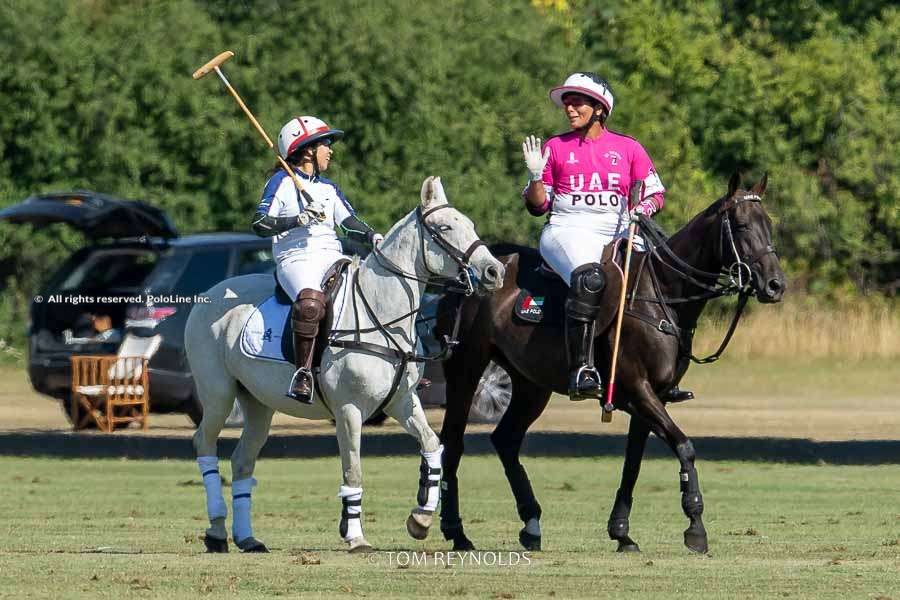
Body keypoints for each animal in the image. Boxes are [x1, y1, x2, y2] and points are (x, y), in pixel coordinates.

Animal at [185, 177, 502, 552]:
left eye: (469, 224)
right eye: (444, 228)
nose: (494, 271)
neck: (381, 311)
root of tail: (206, 296)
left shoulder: (402, 401)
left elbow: (431, 445)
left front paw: (420, 519)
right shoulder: (348, 409)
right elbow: (353, 469)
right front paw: (354, 536)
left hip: (258, 402)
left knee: (242, 459)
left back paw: (248, 538)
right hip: (218, 392)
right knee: (204, 443)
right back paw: (216, 531)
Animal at [434, 173, 780, 552]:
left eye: (769, 224)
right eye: (742, 225)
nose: (775, 285)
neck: (663, 294)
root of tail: (464, 274)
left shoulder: (652, 397)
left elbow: (633, 462)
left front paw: (621, 531)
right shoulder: (638, 389)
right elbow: (684, 446)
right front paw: (695, 527)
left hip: (530, 384)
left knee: (506, 440)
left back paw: (531, 524)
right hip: (466, 366)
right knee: (452, 441)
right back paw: (456, 531)